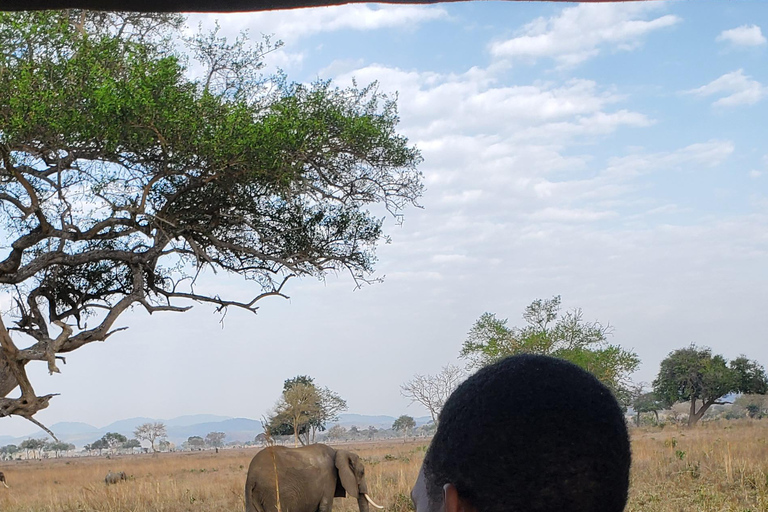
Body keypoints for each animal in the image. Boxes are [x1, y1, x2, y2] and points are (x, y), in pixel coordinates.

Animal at [244, 442, 384, 512]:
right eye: (362, 472)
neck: (337, 451)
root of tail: (251, 477)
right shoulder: (329, 478)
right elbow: (325, 506)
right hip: (272, 493)